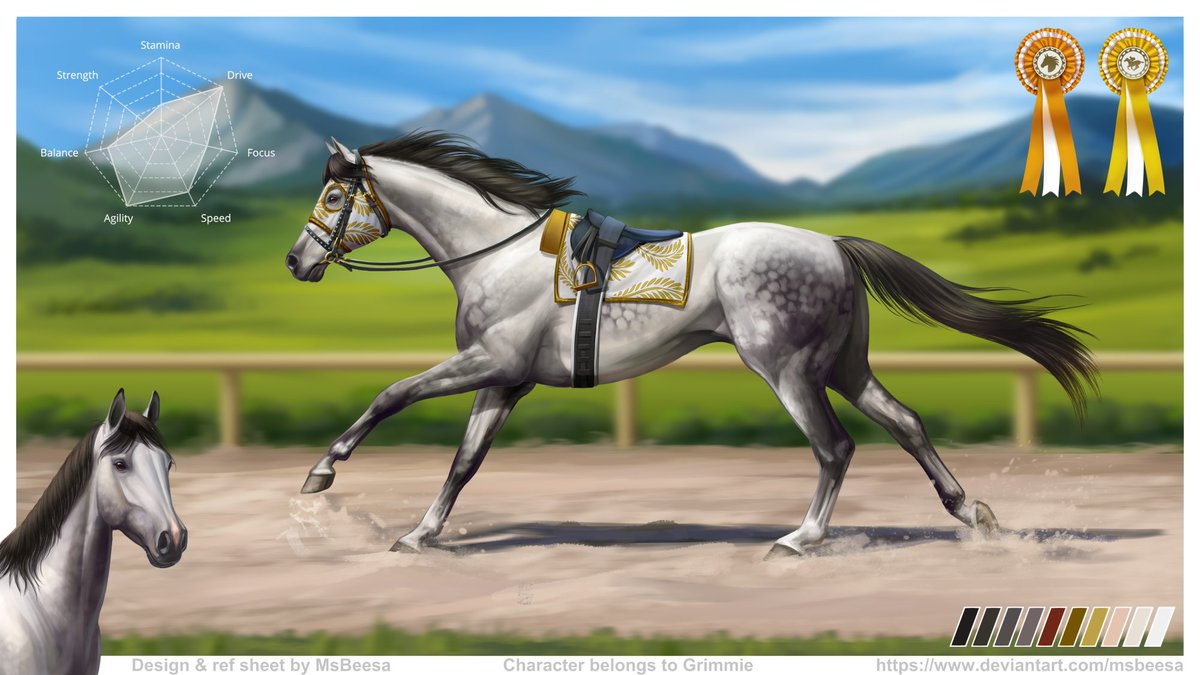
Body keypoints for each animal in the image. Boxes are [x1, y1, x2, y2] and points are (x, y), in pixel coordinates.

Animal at [284, 131, 1096, 558]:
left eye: (334, 196)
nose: (296, 261)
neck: (496, 253)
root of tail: (834, 245)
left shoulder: (491, 362)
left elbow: (391, 393)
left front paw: (321, 475)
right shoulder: (504, 380)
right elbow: (464, 462)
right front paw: (421, 532)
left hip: (787, 369)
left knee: (835, 446)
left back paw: (801, 538)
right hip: (844, 365)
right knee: (905, 422)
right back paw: (973, 515)